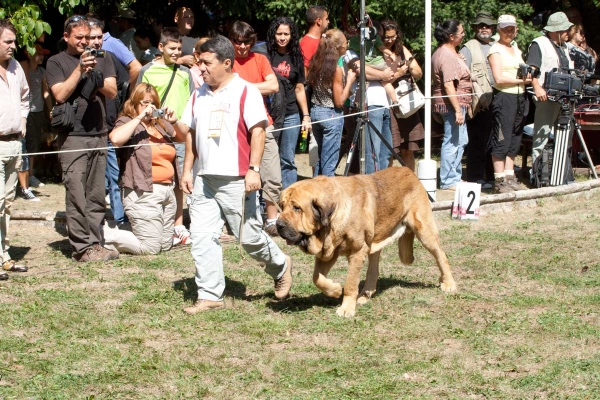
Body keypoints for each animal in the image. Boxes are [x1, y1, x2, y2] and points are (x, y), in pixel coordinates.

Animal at [276, 167, 454, 318]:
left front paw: (346, 308)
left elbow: (350, 283)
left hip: (424, 232)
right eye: (281, 206)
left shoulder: (356, 251)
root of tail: (409, 171)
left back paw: (448, 283)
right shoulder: (329, 252)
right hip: (374, 242)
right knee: (373, 270)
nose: (278, 225)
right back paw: (365, 295)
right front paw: (335, 290)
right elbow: (317, 278)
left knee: (441, 255)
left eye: (297, 208)